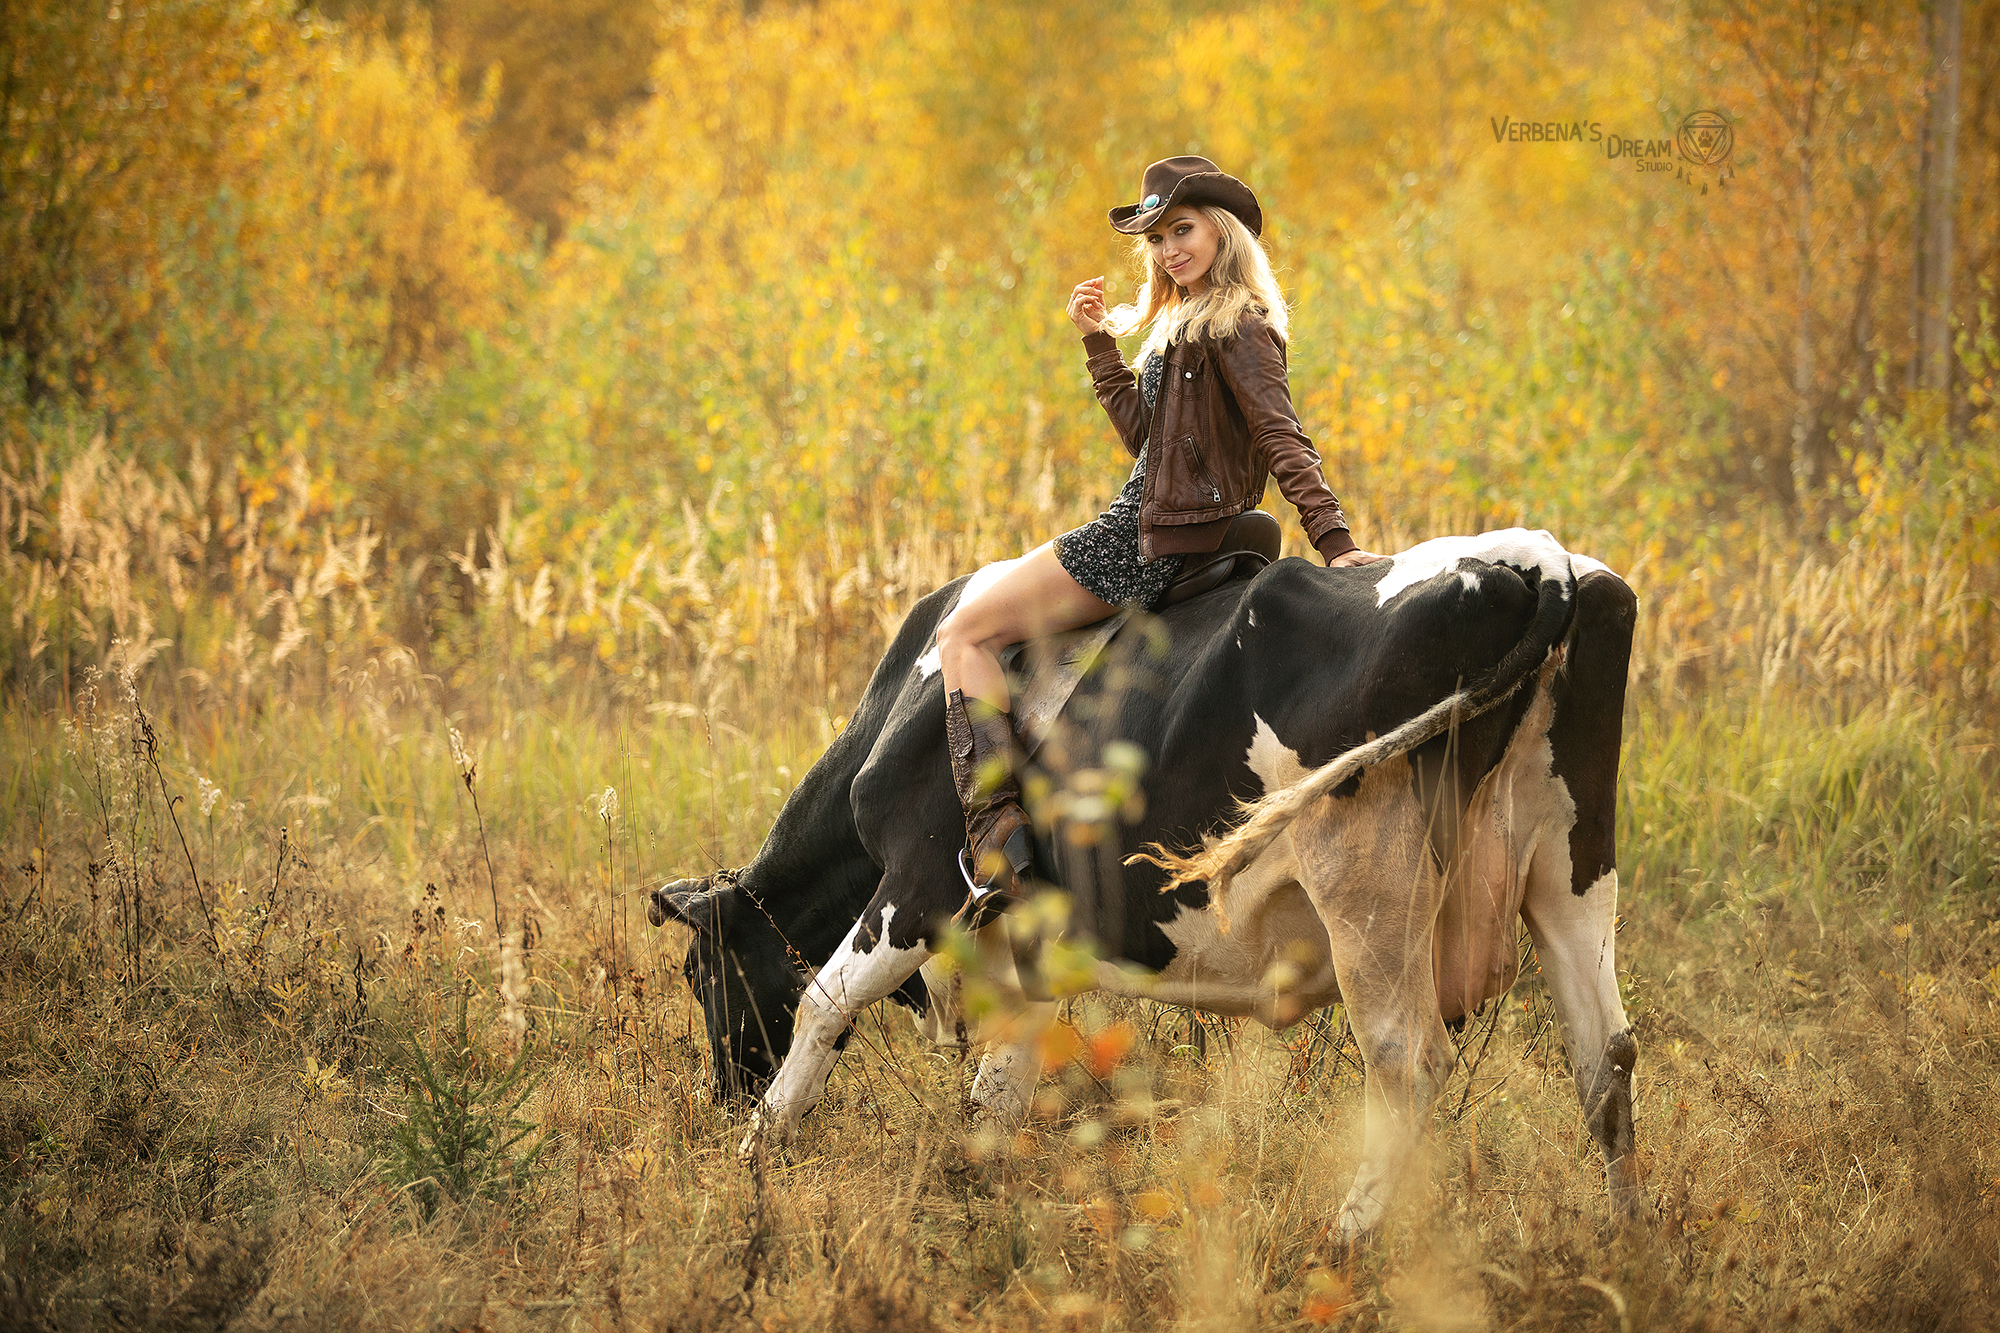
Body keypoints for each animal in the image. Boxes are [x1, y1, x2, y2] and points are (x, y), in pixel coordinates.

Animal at [656, 524, 1640, 1232]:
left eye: (698, 972)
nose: (720, 1095)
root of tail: (1540, 560)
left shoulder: (921, 880)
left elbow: (823, 1002)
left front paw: (755, 1153)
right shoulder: (1023, 943)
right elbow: (997, 1090)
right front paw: (975, 1194)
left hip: (1370, 882)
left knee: (1409, 1060)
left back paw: (1347, 1239)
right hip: (1571, 867)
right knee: (1605, 1053)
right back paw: (1627, 1237)